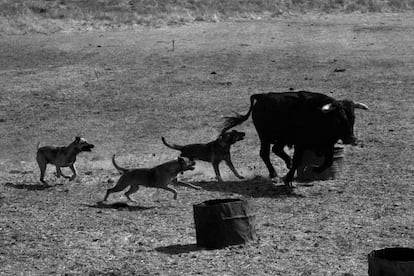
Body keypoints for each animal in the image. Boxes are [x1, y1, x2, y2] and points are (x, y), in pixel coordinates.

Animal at [222, 91, 368, 187]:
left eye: (353, 117)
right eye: (339, 118)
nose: (352, 139)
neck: (320, 116)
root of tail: (262, 96)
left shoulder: (327, 144)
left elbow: (328, 161)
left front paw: (316, 170)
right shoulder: (300, 144)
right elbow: (298, 161)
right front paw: (289, 179)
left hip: (281, 138)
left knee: (276, 149)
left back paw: (287, 162)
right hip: (265, 137)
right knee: (265, 153)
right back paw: (274, 174)